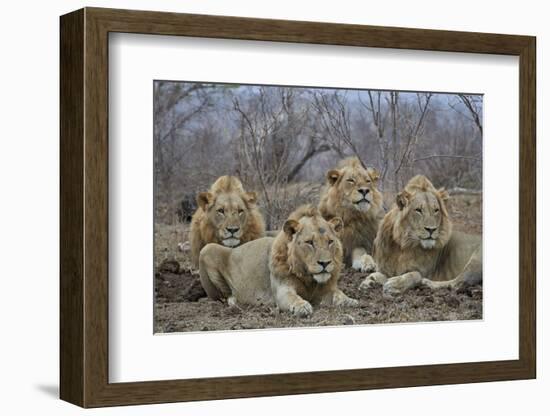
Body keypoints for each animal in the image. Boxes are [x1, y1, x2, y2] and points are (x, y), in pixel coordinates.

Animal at [201, 206, 360, 318]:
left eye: (330, 241)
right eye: (309, 242)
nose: (325, 263)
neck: (309, 278)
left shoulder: (327, 289)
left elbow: (339, 294)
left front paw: (350, 301)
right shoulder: (282, 290)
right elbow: (293, 298)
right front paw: (302, 307)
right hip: (207, 249)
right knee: (222, 297)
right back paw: (235, 302)